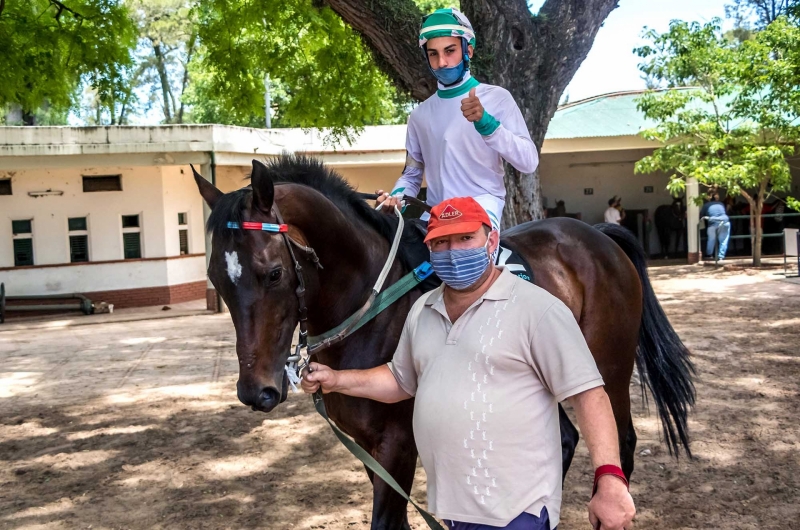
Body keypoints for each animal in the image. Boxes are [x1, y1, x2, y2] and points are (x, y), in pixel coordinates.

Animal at [194, 157, 692, 528]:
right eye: (216, 278)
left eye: (274, 273)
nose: (256, 391)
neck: (370, 303)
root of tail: (598, 236)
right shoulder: (367, 447)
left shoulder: (397, 444)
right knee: (564, 441)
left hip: (608, 368)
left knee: (621, 444)